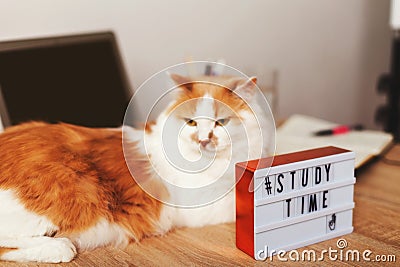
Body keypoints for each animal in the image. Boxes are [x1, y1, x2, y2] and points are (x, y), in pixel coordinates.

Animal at [0, 74, 272, 262]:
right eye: (192, 122)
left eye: (221, 122)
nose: (203, 140)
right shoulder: (203, 207)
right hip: (71, 193)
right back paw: (59, 247)